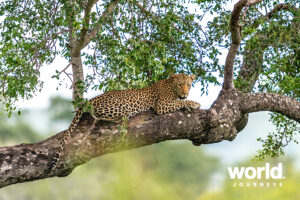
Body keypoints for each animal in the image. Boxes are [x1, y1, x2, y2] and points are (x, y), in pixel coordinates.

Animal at [50, 73, 202, 170]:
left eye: (188, 85)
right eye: (180, 84)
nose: (185, 93)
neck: (170, 86)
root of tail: (91, 99)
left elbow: (179, 102)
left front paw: (189, 103)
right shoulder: (161, 104)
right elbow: (178, 102)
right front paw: (194, 103)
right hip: (122, 107)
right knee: (101, 116)